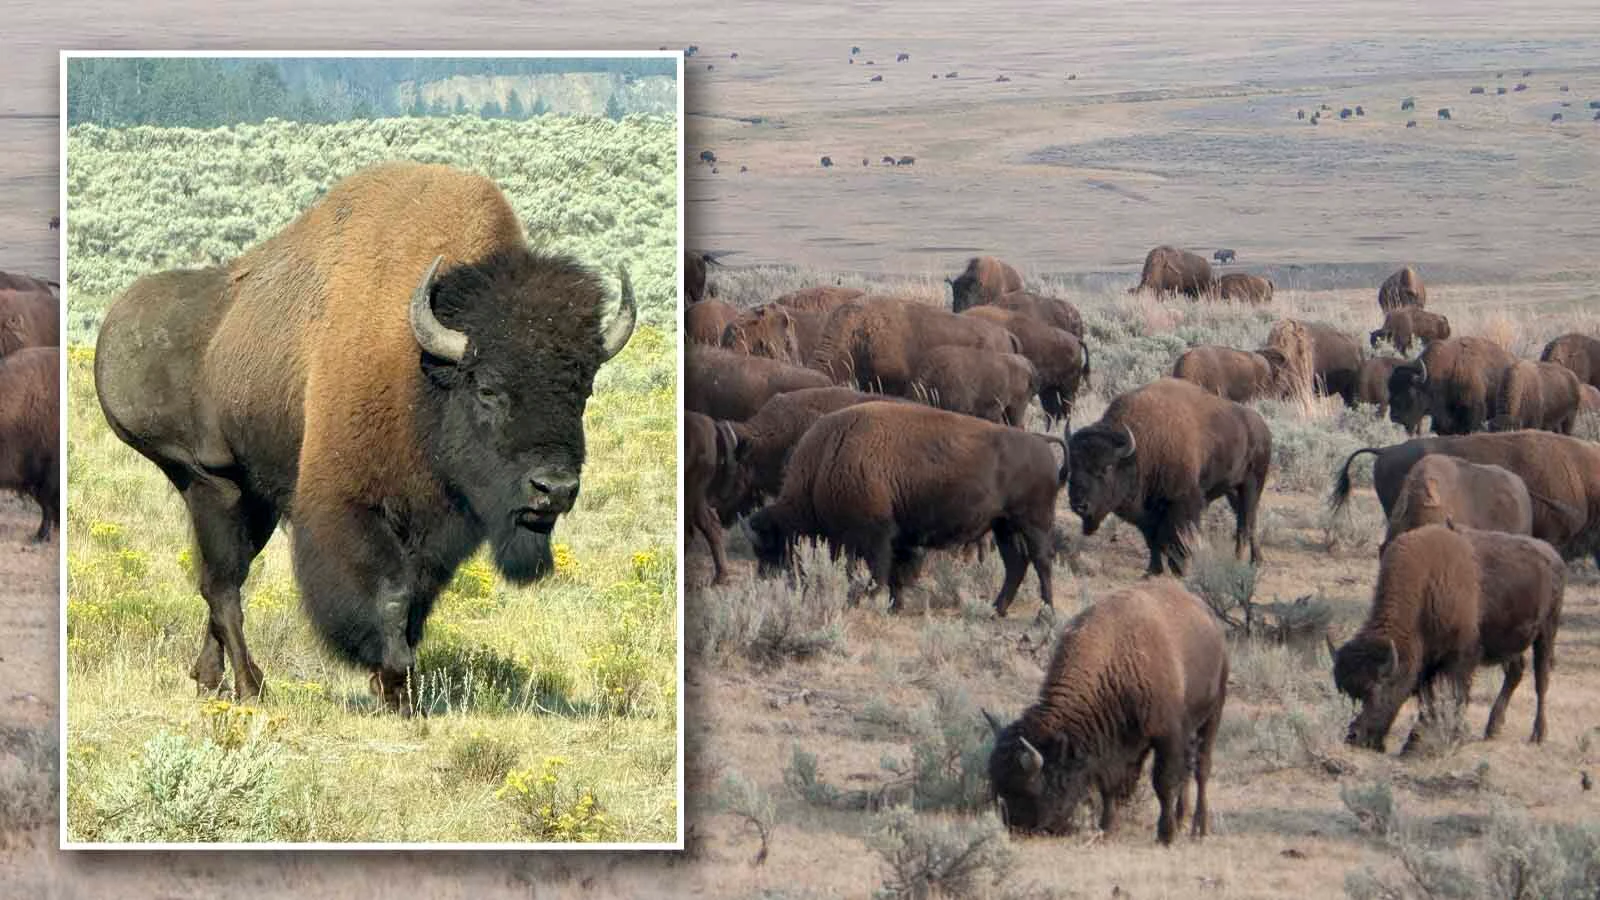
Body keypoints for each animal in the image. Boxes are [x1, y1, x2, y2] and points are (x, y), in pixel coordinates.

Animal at [93, 162, 638, 713]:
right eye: (488, 389)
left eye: (584, 388)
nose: (555, 489)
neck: (421, 369)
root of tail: (117, 320)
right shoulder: (350, 506)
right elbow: (387, 594)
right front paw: (393, 681)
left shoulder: (439, 528)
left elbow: (416, 599)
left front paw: (397, 688)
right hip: (209, 481)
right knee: (224, 586)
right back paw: (252, 687)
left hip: (253, 496)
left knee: (223, 580)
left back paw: (208, 678)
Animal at [742, 401, 1066, 616]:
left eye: (770, 546)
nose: (765, 579)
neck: (827, 460)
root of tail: (1041, 443)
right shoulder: (892, 539)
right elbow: (893, 574)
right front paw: (893, 606)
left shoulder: (874, 535)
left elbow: (876, 574)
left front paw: (859, 599)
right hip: (1004, 525)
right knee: (1016, 564)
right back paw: (996, 609)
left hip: (1034, 523)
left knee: (1041, 561)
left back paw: (1044, 614)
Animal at [984, 580, 1227, 844]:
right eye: (996, 782)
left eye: (1031, 788)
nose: (1015, 826)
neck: (1117, 660)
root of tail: (1210, 619)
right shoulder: (1118, 744)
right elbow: (1111, 786)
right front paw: (1106, 827)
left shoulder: (1168, 736)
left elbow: (1163, 783)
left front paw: (1165, 835)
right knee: (1187, 771)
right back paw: (1183, 818)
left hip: (1213, 714)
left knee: (1201, 768)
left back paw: (1198, 828)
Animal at [1067, 377, 1272, 576]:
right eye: (1072, 465)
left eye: (1107, 467)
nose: (1079, 505)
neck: (1140, 450)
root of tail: (1262, 427)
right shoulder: (1146, 512)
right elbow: (1152, 539)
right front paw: (1153, 570)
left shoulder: (1183, 502)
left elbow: (1179, 536)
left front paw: (1180, 569)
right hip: (1233, 490)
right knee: (1248, 520)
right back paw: (1254, 560)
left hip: (1252, 484)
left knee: (1245, 524)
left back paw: (1242, 562)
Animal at [1332, 523, 1563, 753]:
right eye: (1345, 692)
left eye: (1378, 690)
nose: (1354, 736)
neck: (1427, 585)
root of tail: (1553, 555)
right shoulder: (1427, 660)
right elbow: (1429, 697)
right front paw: (1416, 739)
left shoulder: (1461, 657)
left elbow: (1454, 694)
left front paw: (1443, 737)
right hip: (1510, 644)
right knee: (1515, 673)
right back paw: (1493, 728)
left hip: (1547, 631)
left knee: (1541, 680)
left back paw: (1538, 734)